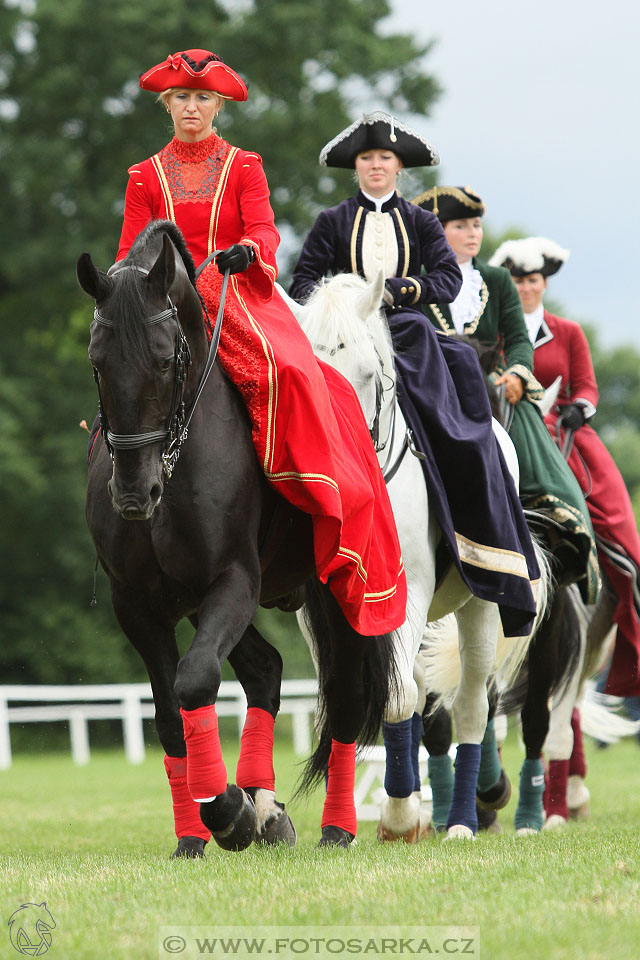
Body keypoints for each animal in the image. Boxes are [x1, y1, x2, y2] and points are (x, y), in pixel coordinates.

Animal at [75, 223, 396, 856]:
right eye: (97, 361)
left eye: (163, 358)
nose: (134, 494)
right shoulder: (139, 605)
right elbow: (170, 712)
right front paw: (196, 834)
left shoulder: (233, 580)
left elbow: (197, 678)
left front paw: (227, 813)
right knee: (266, 671)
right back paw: (265, 807)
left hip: (342, 589)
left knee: (345, 701)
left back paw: (334, 827)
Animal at [284, 272, 552, 840]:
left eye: (366, 374)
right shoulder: (319, 613)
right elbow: (347, 699)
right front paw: (351, 823)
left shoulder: (408, 596)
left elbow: (397, 697)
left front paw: (400, 816)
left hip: (480, 606)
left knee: (471, 705)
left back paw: (464, 817)